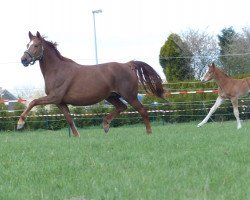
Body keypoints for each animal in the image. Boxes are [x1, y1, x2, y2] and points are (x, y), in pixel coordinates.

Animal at [19, 31, 164, 137]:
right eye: (27, 45)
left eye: (36, 45)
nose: (23, 60)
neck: (57, 70)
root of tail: (128, 65)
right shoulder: (60, 102)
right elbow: (69, 119)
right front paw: (77, 137)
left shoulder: (54, 97)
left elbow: (33, 102)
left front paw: (20, 123)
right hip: (111, 96)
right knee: (122, 107)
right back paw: (106, 125)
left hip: (130, 96)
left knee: (142, 110)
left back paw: (149, 133)